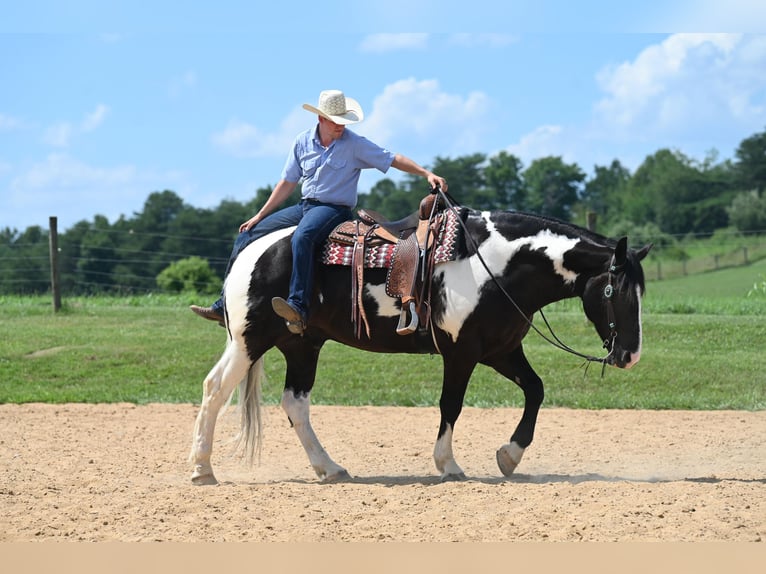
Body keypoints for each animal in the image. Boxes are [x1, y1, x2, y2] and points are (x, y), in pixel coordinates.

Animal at [189, 202, 652, 486]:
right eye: (613, 291)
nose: (630, 356)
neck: (494, 266)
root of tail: (251, 251)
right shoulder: (461, 354)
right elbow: (451, 405)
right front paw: (448, 464)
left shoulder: (501, 351)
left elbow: (535, 391)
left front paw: (510, 455)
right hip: (249, 339)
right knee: (215, 389)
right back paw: (201, 470)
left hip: (301, 345)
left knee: (295, 404)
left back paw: (330, 468)